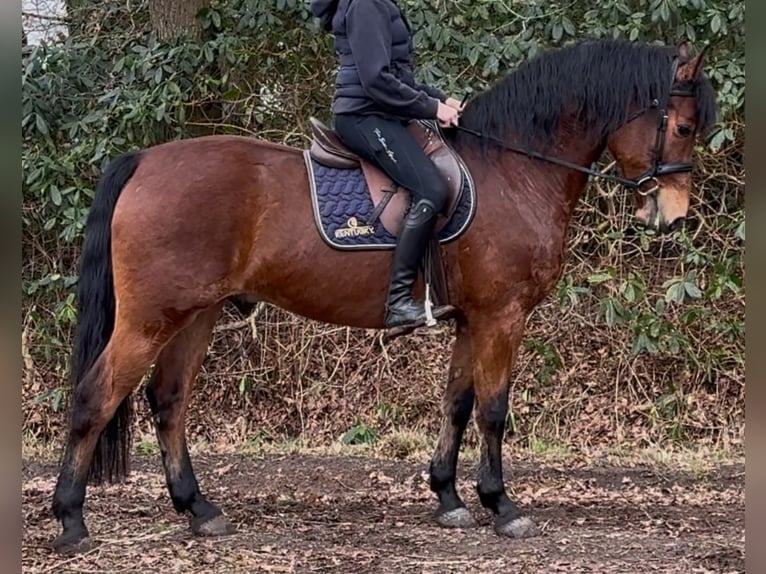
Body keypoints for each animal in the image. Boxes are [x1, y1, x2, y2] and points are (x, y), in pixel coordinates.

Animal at [51, 39, 716, 552]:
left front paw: (448, 497)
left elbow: (457, 403)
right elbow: (493, 411)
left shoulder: (471, 320)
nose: (673, 215)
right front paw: (501, 506)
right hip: (150, 318)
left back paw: (199, 510)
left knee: (168, 401)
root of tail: (144, 162)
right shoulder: (502, 317)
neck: (512, 169)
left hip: (196, 313)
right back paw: (71, 521)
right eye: (683, 127)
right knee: (93, 398)